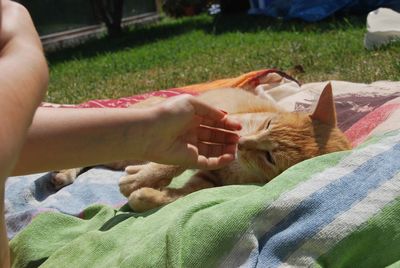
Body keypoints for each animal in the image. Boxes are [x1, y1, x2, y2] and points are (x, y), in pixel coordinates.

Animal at [118, 82, 350, 213]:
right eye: (268, 124)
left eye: (270, 157)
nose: (241, 143)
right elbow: (174, 163)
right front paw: (140, 179)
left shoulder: (210, 178)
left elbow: (186, 194)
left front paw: (147, 196)